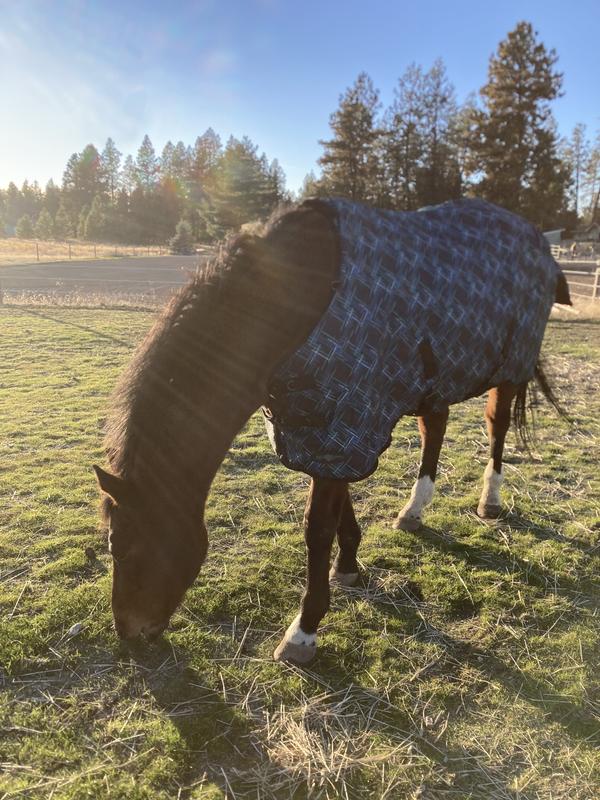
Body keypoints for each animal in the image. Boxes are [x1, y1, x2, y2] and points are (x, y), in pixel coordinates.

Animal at [94, 197, 571, 664]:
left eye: (125, 547)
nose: (130, 634)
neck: (293, 303)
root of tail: (535, 237)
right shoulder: (330, 428)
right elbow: (341, 506)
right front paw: (348, 567)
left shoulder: (342, 421)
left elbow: (317, 526)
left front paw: (303, 630)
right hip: (435, 380)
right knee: (434, 428)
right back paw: (413, 511)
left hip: (509, 366)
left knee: (497, 427)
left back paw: (490, 499)